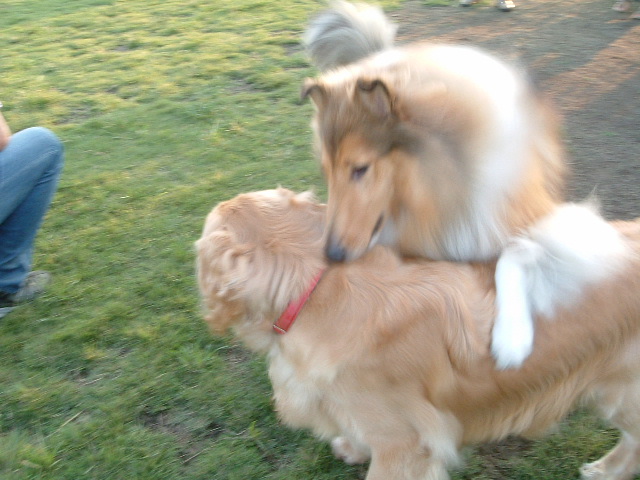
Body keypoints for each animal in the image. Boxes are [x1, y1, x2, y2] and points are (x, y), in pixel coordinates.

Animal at [301, 1, 629, 369]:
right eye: (326, 172)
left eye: (360, 169)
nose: (331, 254)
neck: (444, 189)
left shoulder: (531, 218)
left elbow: (511, 255)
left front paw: (511, 337)